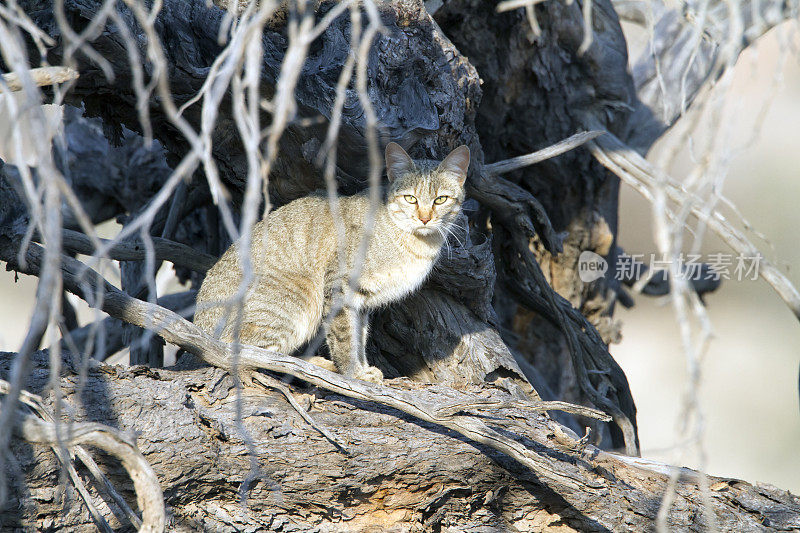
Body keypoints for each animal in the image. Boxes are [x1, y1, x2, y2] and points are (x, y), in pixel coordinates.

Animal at [194, 142, 468, 378]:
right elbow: (345, 335)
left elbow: (359, 335)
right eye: (410, 198)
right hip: (297, 297)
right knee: (248, 355)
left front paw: (363, 368)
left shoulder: (363, 301)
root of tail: (201, 324)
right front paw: (354, 374)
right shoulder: (340, 284)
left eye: (440, 199)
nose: (425, 218)